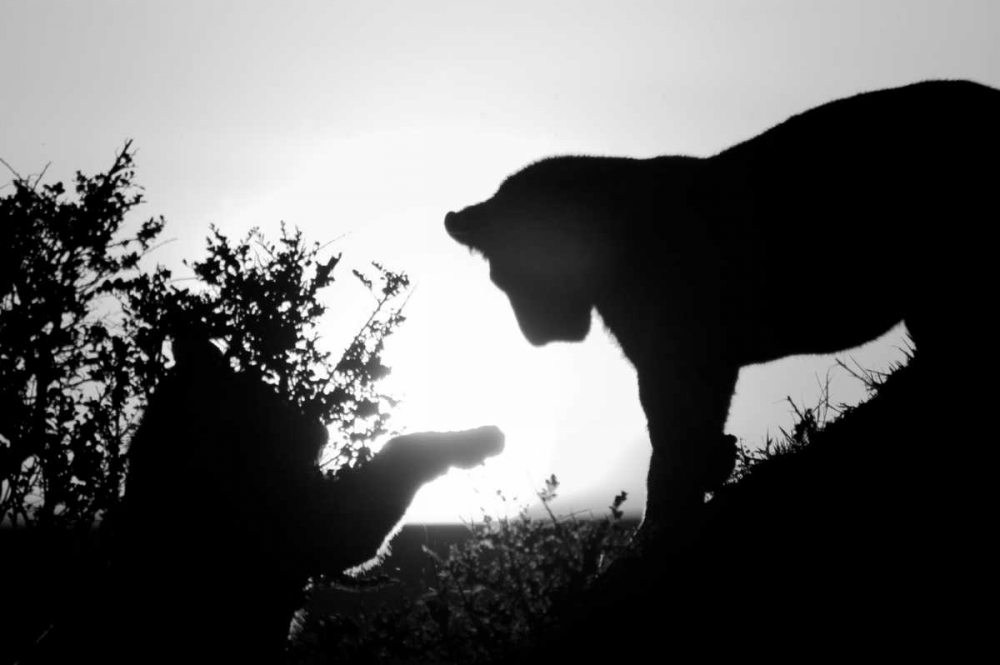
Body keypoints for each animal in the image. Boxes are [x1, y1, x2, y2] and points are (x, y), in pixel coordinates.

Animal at [444, 79, 998, 531]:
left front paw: (663, 517)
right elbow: (683, 429)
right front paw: (709, 471)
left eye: (515, 274)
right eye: (500, 277)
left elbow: (670, 435)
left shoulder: (675, 357)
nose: (535, 334)